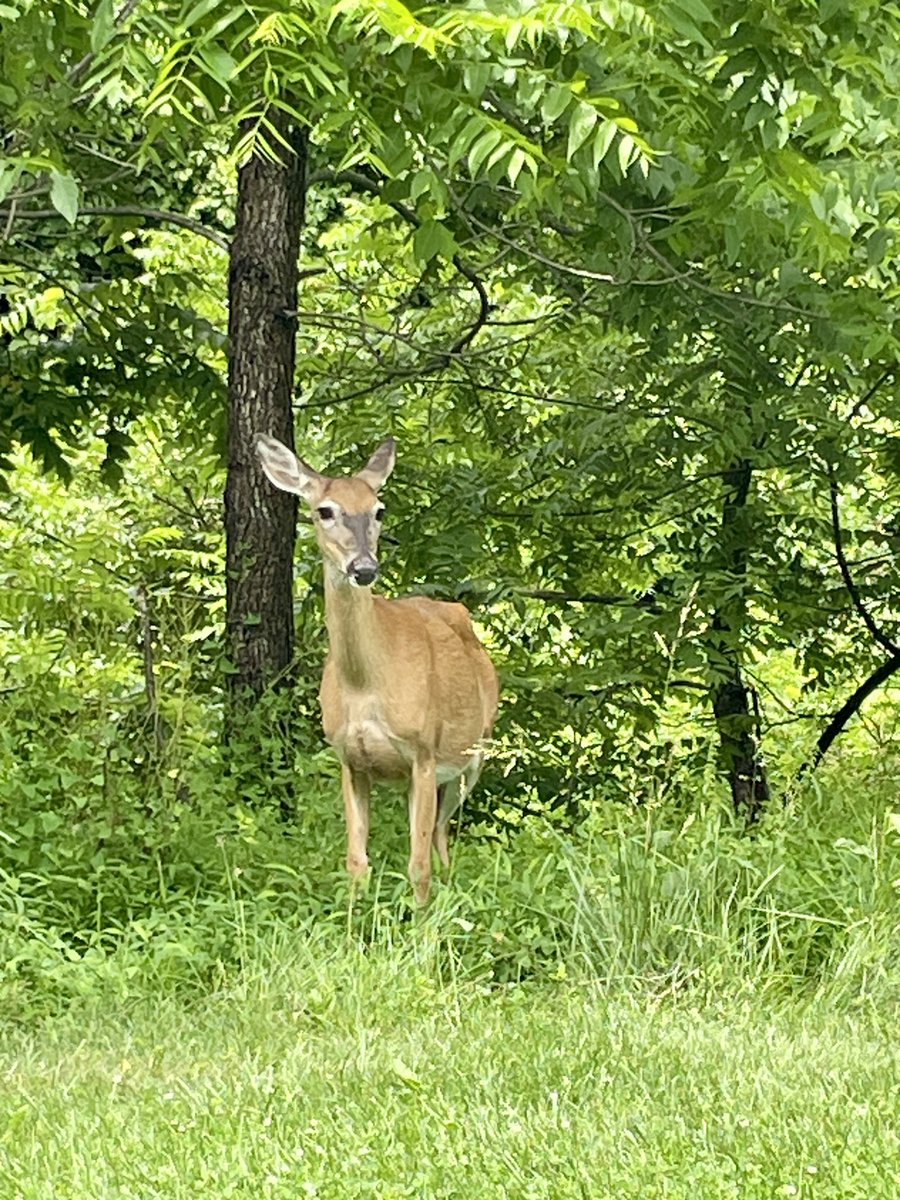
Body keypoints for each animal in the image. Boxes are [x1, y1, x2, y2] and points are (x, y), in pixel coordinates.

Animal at [255, 433, 499, 904]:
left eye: (379, 509)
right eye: (324, 510)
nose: (364, 568)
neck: (365, 685)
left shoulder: (423, 751)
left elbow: (417, 866)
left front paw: (423, 923)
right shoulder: (350, 758)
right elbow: (356, 863)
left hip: (474, 754)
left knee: (441, 835)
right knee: (437, 833)